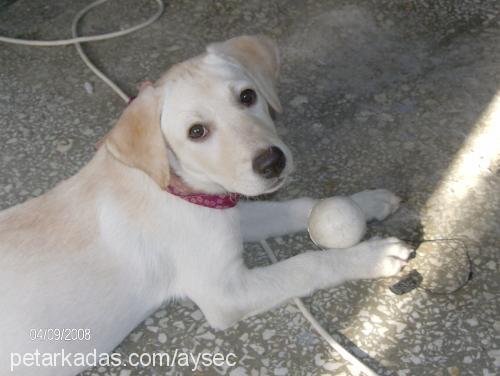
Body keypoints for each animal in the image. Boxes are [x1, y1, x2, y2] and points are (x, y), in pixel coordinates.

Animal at [0, 36, 410, 376]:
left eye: (247, 97)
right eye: (196, 132)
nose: (272, 163)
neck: (175, 188)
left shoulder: (229, 212)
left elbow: (298, 208)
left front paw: (365, 201)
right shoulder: (226, 292)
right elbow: (306, 264)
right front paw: (372, 255)